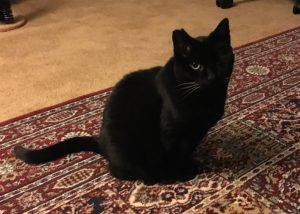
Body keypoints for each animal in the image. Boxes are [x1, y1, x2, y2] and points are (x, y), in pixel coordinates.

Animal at [14, 18, 234, 184]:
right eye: (196, 65)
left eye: (219, 60)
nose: (212, 77)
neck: (205, 101)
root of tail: (101, 141)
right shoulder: (171, 134)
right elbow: (176, 155)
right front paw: (184, 172)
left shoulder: (197, 131)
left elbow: (187, 150)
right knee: (128, 172)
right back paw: (159, 176)